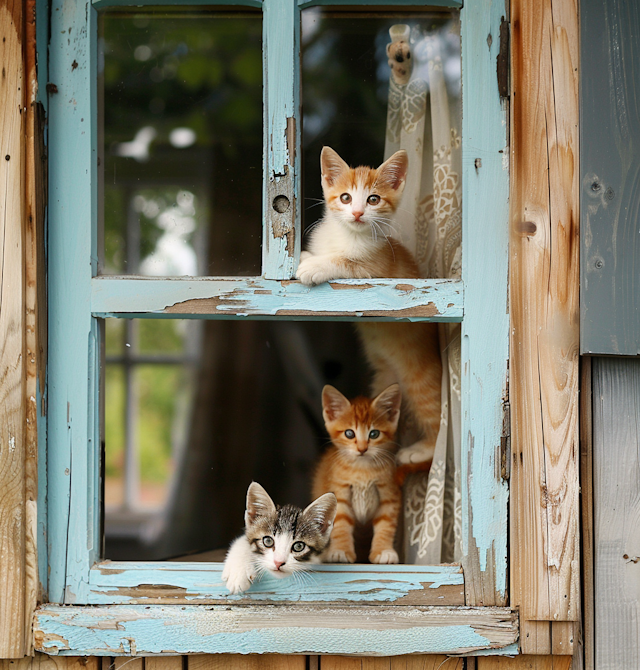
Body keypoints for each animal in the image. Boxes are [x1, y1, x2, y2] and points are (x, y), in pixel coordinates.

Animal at [298, 147, 442, 472]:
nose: (357, 213)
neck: (346, 236)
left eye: (373, 199)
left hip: (418, 376)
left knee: (437, 416)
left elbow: (345, 262)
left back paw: (419, 452)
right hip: (383, 373)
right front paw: (306, 256)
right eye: (345, 197)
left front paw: (313, 267)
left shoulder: (375, 271)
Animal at [312, 384, 402, 568]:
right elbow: (341, 523)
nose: (362, 448)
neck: (362, 469)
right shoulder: (340, 491)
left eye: (374, 434)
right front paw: (340, 551)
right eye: (349, 433)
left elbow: (386, 523)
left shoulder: (389, 493)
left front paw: (383, 551)